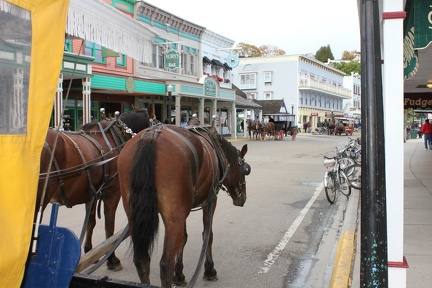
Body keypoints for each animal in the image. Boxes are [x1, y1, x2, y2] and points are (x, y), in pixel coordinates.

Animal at [36, 109, 153, 272]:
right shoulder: (113, 193)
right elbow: (109, 225)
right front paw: (112, 259)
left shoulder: (90, 195)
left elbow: (90, 222)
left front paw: (89, 251)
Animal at [116, 124, 251, 288]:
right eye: (245, 170)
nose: (243, 198)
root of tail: (151, 136)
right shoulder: (210, 201)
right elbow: (207, 235)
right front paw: (209, 270)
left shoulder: (184, 210)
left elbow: (184, 238)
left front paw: (179, 274)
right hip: (174, 219)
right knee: (165, 264)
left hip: (134, 216)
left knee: (141, 261)